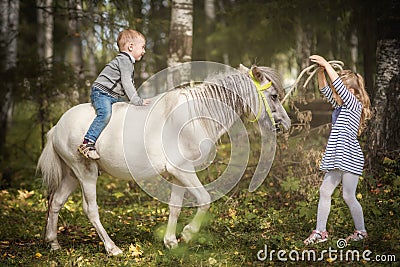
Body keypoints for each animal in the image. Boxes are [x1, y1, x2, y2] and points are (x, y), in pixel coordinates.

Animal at [37, 64, 290, 255]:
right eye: (274, 96)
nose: (287, 124)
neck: (194, 116)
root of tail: (57, 127)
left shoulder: (178, 174)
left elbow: (175, 207)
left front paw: (171, 242)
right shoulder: (183, 170)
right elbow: (205, 199)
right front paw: (187, 233)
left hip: (72, 175)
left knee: (56, 202)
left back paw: (53, 243)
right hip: (86, 173)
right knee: (90, 209)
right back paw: (112, 248)